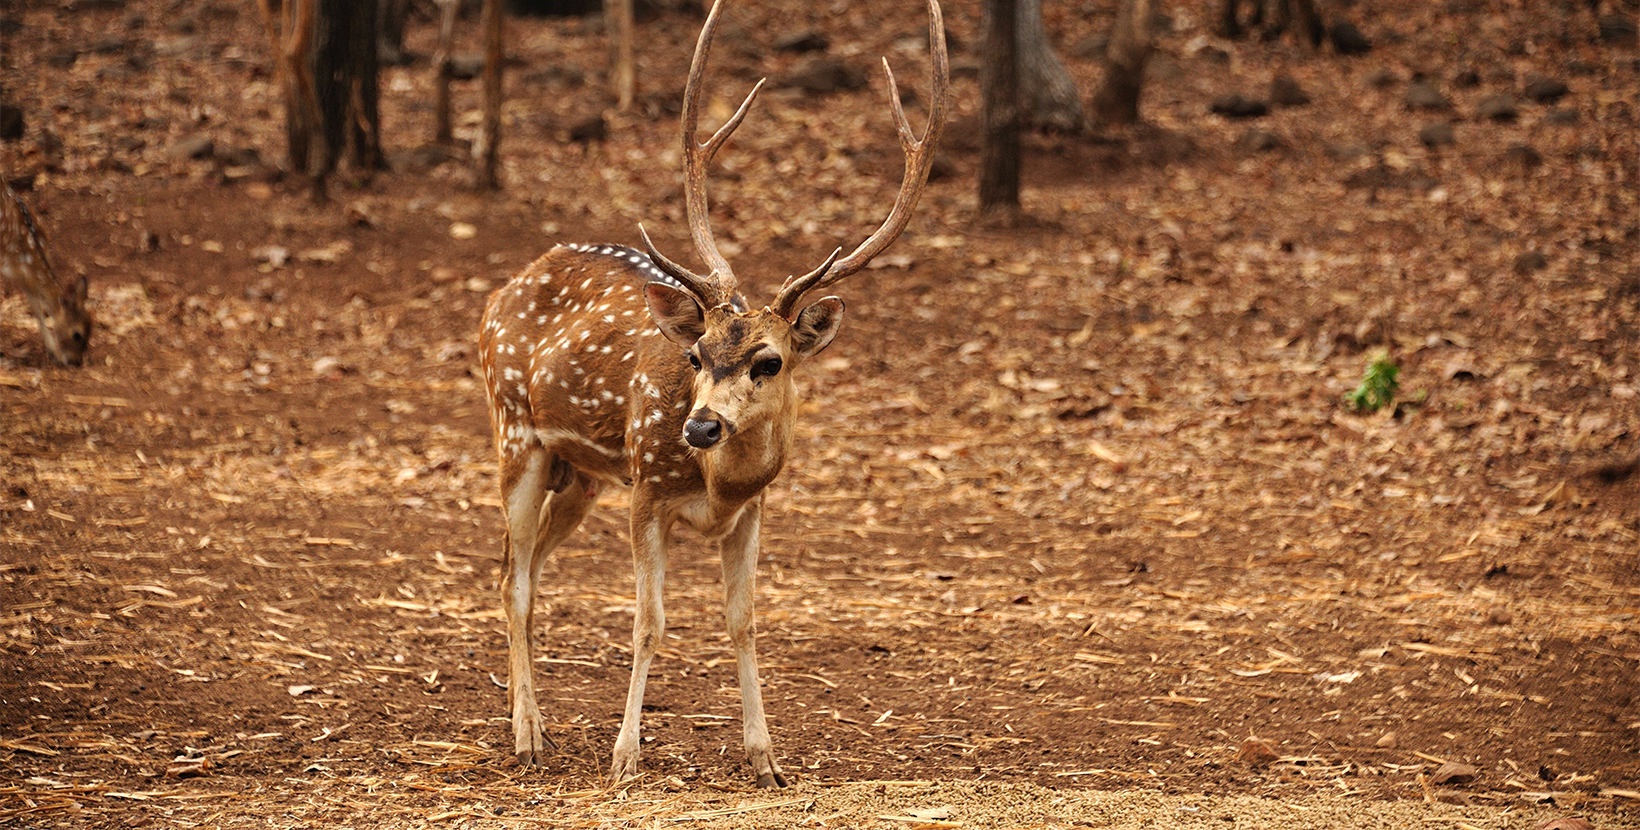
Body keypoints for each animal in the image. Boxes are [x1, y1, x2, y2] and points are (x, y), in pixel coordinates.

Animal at [478, 0, 951, 790]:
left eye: (769, 361)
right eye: (696, 354)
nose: (698, 427)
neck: (716, 484)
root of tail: (504, 289)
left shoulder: (754, 510)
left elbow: (743, 620)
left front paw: (767, 758)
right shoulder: (646, 489)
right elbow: (649, 621)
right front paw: (625, 756)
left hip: (582, 476)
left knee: (525, 569)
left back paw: (532, 718)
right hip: (514, 429)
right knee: (512, 578)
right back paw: (526, 738)